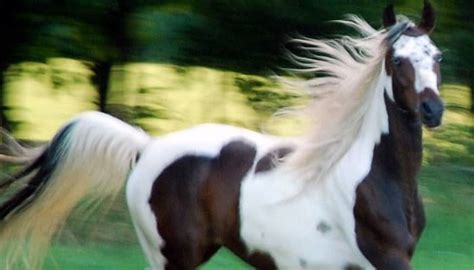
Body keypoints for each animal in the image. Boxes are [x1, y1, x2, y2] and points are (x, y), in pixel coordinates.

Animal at [0, 2, 444, 270]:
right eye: (397, 60)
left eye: (436, 56)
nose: (433, 111)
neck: (370, 180)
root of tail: (148, 147)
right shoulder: (387, 261)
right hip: (171, 258)